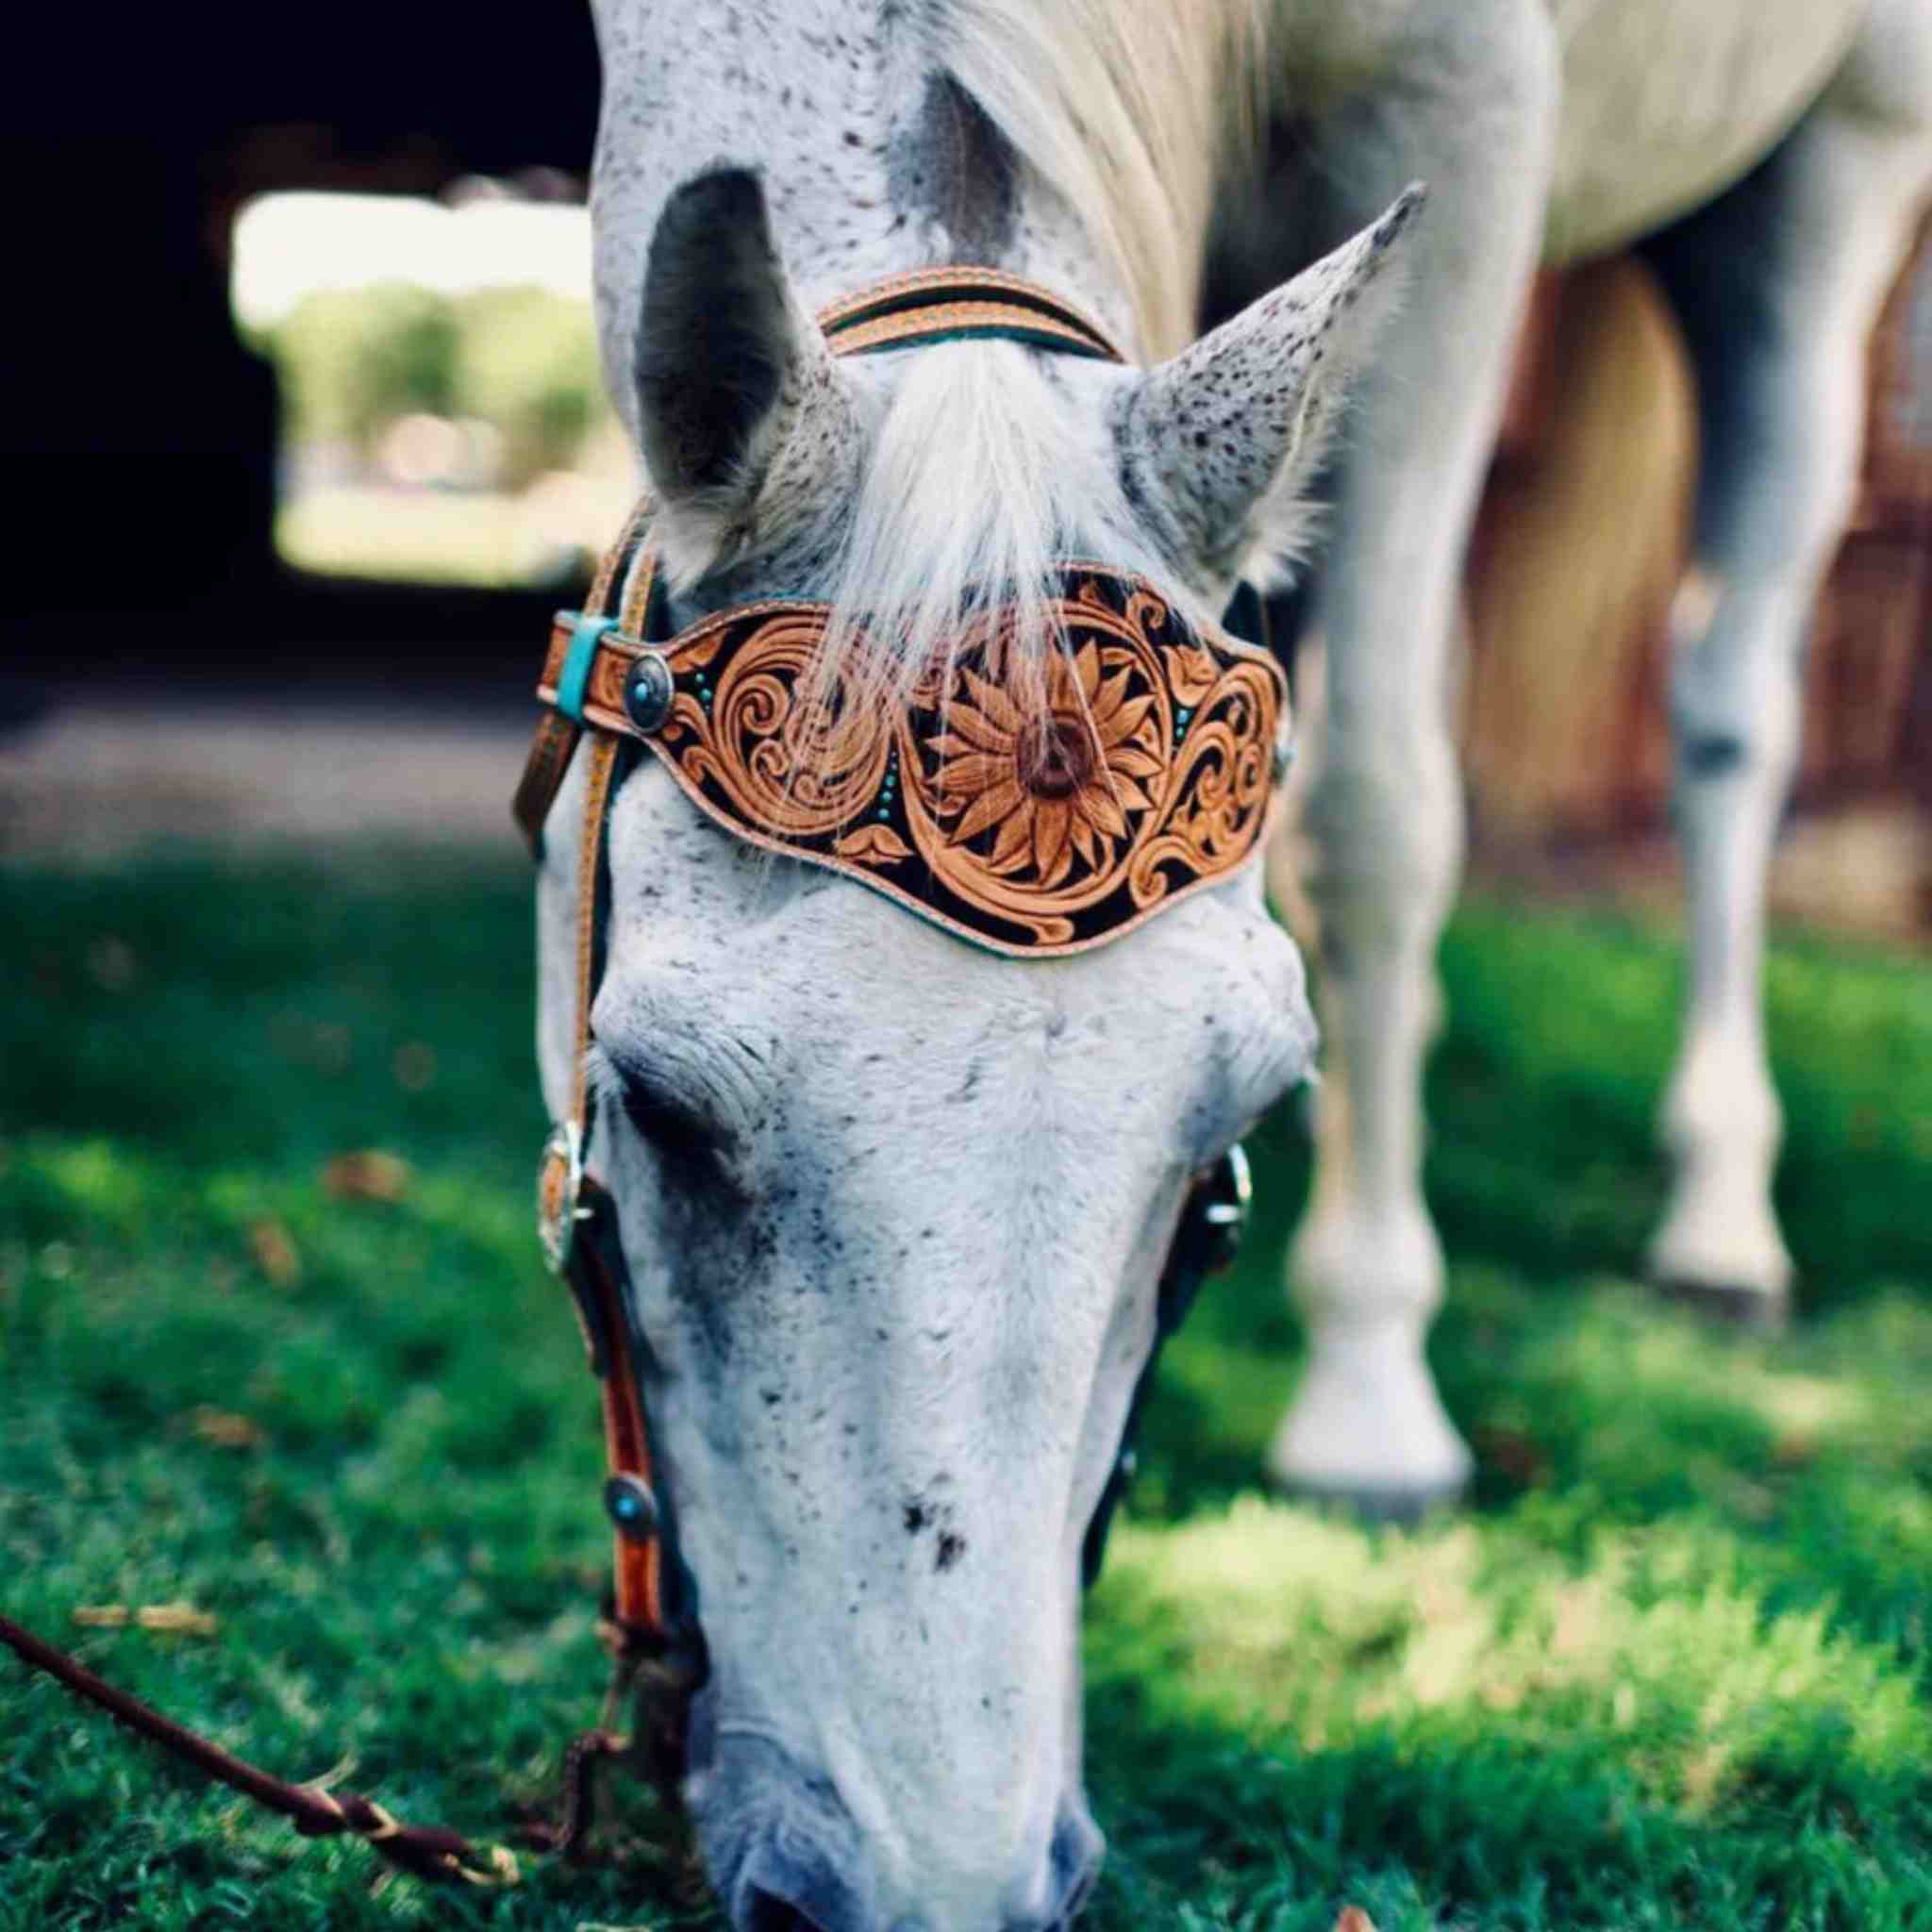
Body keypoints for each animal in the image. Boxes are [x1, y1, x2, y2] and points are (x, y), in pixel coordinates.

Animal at [549, 3, 1932, 1925]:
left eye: (1235, 1125)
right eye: (662, 1110)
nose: (930, 1886)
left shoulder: (1465, 115)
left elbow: (1370, 812)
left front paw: (1369, 1402)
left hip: (1833, 166)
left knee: (1729, 700)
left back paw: (1718, 1217)